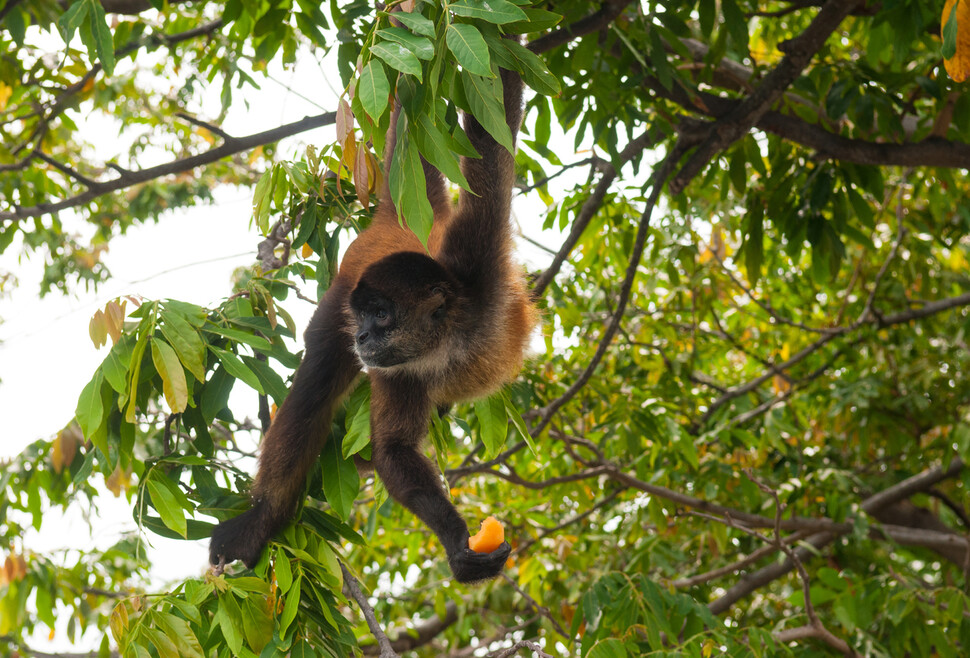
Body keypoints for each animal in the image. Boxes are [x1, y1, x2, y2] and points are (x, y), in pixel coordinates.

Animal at [207, 60, 532, 580]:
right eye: (365, 316)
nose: (360, 334)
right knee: (317, 380)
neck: (451, 339)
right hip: (339, 300)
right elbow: (392, 450)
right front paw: (457, 543)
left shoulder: (476, 264)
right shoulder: (399, 365)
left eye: (382, 315)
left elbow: (492, 135)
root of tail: (395, 223)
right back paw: (261, 518)